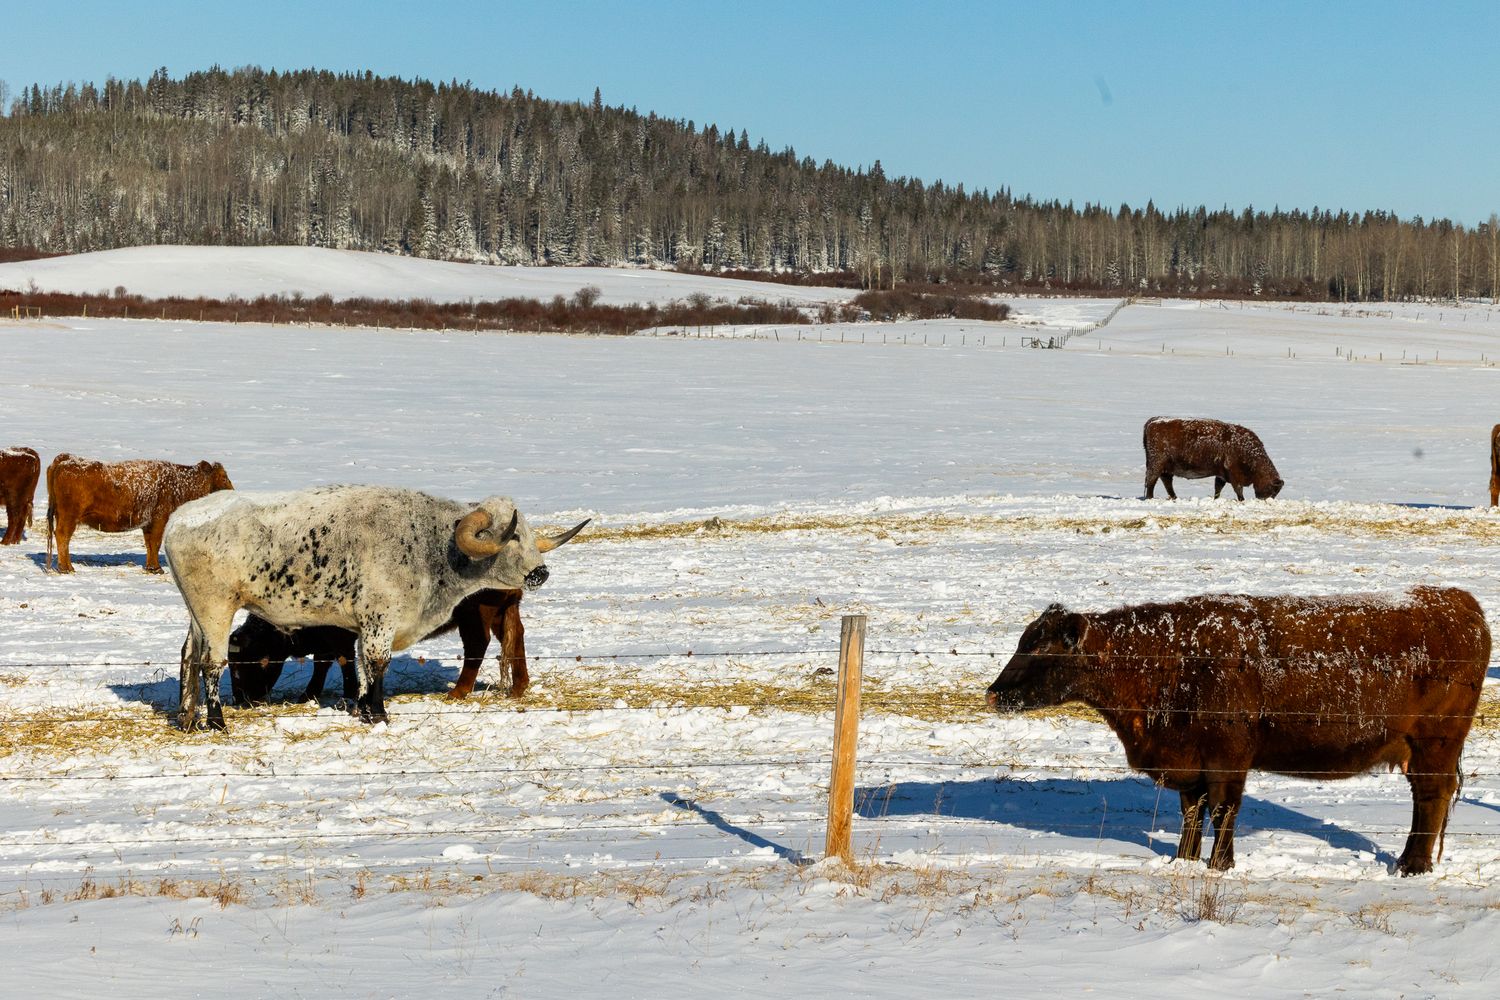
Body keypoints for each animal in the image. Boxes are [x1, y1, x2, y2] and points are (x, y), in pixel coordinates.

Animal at [46, 454, 234, 573]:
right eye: (224, 477)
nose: (233, 492)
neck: (179, 482)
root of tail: (66, 459)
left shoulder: (148, 524)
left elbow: (150, 544)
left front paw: (151, 567)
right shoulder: (159, 520)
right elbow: (155, 543)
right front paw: (157, 568)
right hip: (69, 517)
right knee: (62, 536)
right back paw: (66, 568)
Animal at [227, 588, 529, 705]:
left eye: (243, 667)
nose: (242, 701)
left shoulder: (340, 638)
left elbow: (341, 662)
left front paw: (348, 692)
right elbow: (322, 664)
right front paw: (309, 694)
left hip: (475, 615)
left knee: (477, 646)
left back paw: (458, 691)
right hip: (503, 612)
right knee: (516, 639)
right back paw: (518, 687)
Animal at [985, 587, 1490, 876]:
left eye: (1040, 649)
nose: (992, 694)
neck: (1170, 658)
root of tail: (1454, 601)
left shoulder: (1227, 759)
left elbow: (1224, 810)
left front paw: (1219, 865)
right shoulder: (1189, 762)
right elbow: (1192, 812)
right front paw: (1184, 860)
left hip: (1434, 744)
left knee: (1430, 798)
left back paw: (1411, 866)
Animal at [1143, 416, 1283, 500]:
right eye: (1272, 489)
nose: (1264, 499)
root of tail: (1153, 421)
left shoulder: (1221, 475)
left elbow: (1218, 489)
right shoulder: (1233, 474)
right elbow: (1238, 490)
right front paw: (1242, 501)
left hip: (1166, 468)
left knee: (1166, 481)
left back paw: (1174, 498)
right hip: (1157, 464)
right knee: (1152, 481)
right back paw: (1151, 498)